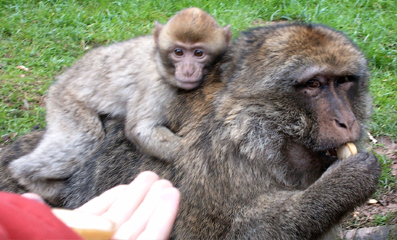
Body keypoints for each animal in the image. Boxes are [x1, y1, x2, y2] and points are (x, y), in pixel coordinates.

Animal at [8, 7, 232, 190]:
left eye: (198, 53)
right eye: (178, 52)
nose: (188, 70)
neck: (159, 62)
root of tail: (61, 82)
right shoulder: (154, 84)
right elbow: (141, 129)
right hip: (66, 102)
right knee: (85, 139)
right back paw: (27, 175)